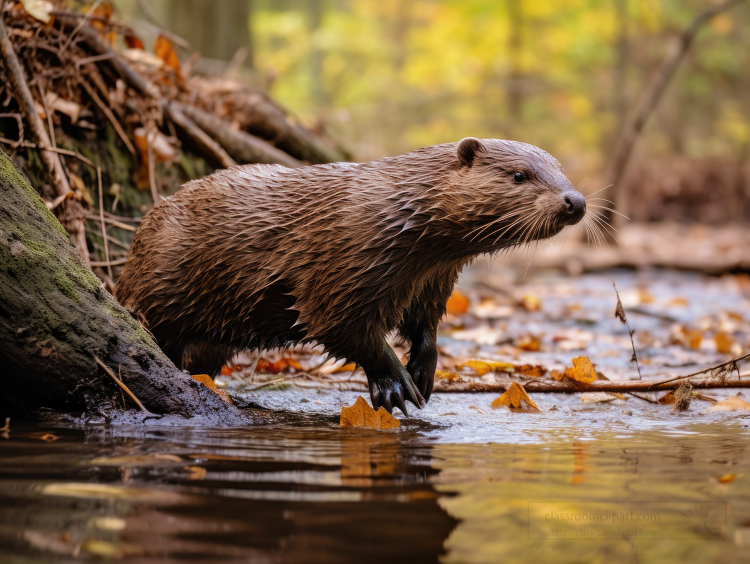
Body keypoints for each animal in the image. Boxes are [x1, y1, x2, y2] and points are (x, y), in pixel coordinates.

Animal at [117, 138, 588, 414]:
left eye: (563, 171)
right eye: (519, 174)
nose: (576, 201)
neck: (395, 214)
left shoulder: (433, 281)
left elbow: (425, 327)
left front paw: (424, 371)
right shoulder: (342, 263)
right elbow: (346, 329)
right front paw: (396, 387)